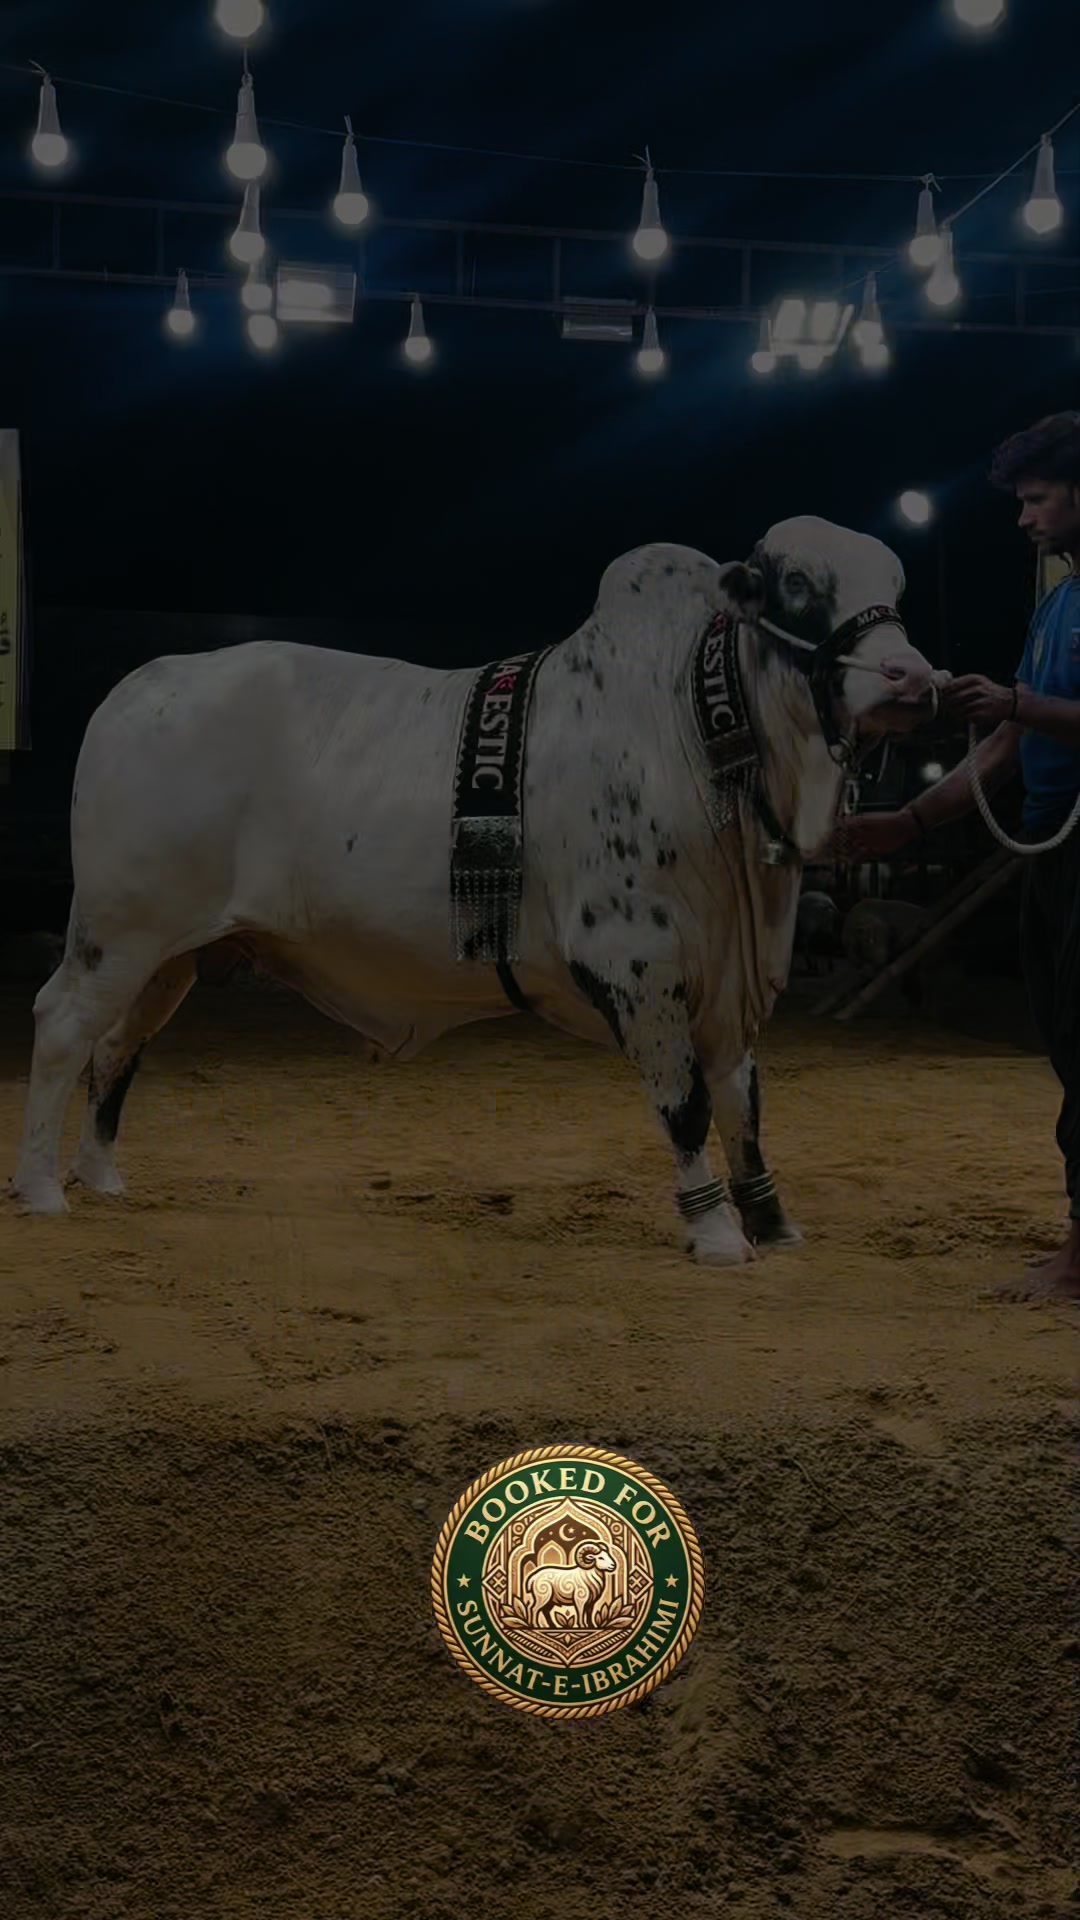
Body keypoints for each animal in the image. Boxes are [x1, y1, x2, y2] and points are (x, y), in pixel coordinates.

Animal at [11, 517, 937, 1264]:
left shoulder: (728, 987)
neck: (688, 723)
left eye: (896, 586)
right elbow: (687, 1108)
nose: (909, 677)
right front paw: (714, 1233)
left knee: (118, 1045)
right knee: (60, 1028)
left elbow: (744, 1105)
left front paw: (773, 1223)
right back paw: (40, 1191)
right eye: (798, 584)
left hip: (176, 953)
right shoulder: (638, 962)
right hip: (115, 932)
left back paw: (100, 1175)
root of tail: (140, 686)